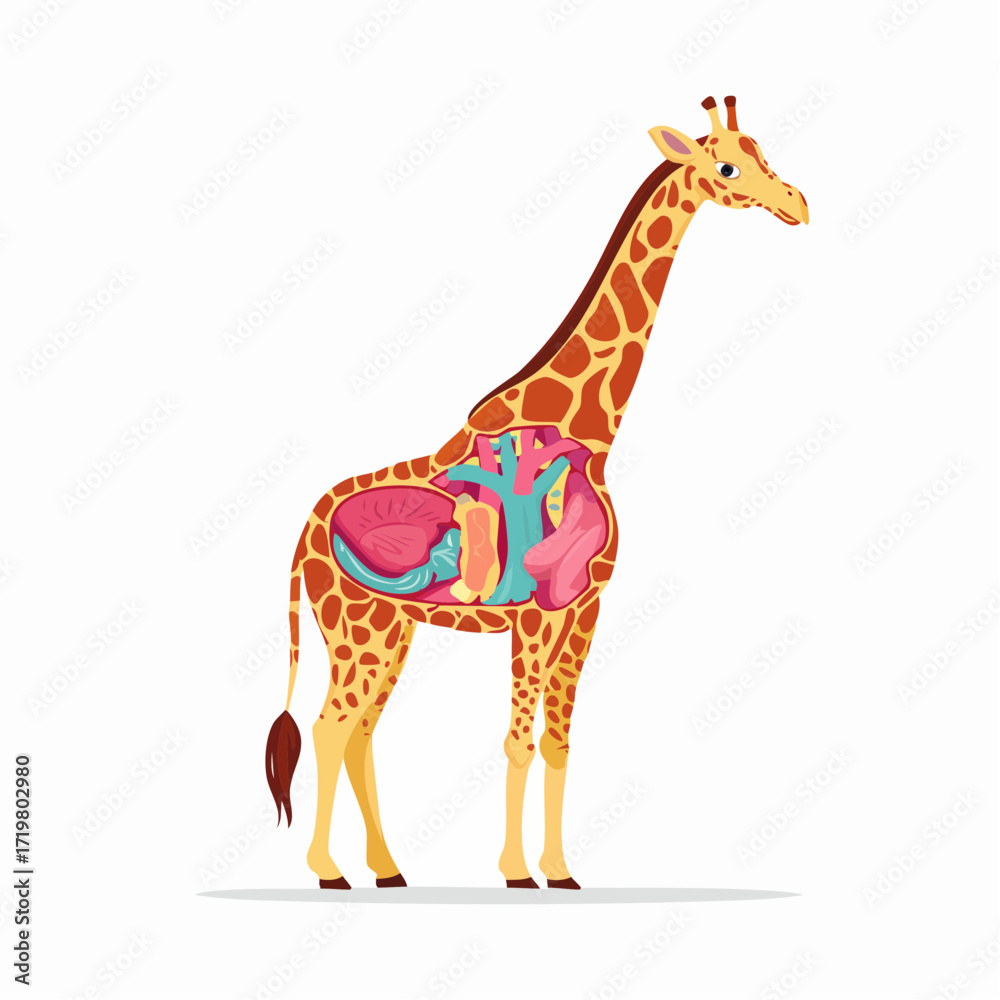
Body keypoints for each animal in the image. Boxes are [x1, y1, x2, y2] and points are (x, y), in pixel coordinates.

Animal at [264, 96, 808, 890]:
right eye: (728, 167)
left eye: (764, 152)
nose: (797, 204)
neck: (589, 428)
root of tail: (302, 531)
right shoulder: (535, 613)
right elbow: (517, 741)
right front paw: (518, 873)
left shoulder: (584, 610)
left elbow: (557, 742)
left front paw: (562, 870)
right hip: (357, 627)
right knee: (332, 727)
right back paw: (330, 872)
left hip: (388, 628)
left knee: (361, 731)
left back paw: (388, 870)